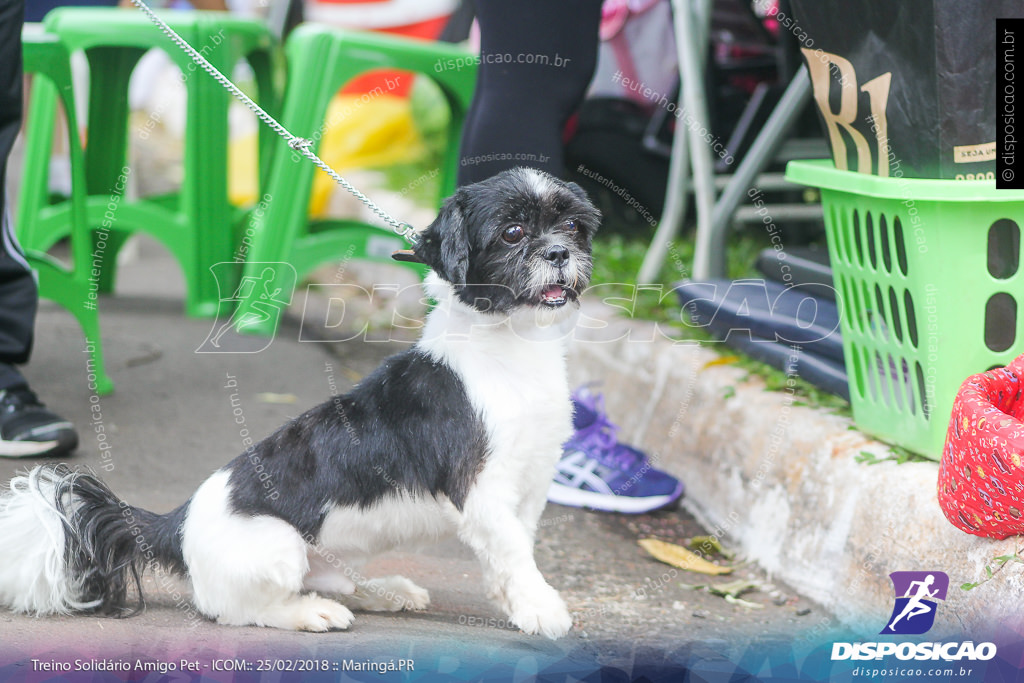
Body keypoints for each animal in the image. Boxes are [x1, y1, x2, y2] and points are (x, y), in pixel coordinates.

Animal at [0, 167, 598, 638]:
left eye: (572, 226)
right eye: (513, 232)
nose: (558, 252)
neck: (508, 353)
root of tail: (177, 525)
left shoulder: (532, 483)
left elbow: (516, 547)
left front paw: (517, 601)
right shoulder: (482, 489)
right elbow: (513, 551)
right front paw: (542, 609)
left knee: (338, 580)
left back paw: (380, 590)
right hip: (278, 544)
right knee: (238, 609)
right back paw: (310, 613)